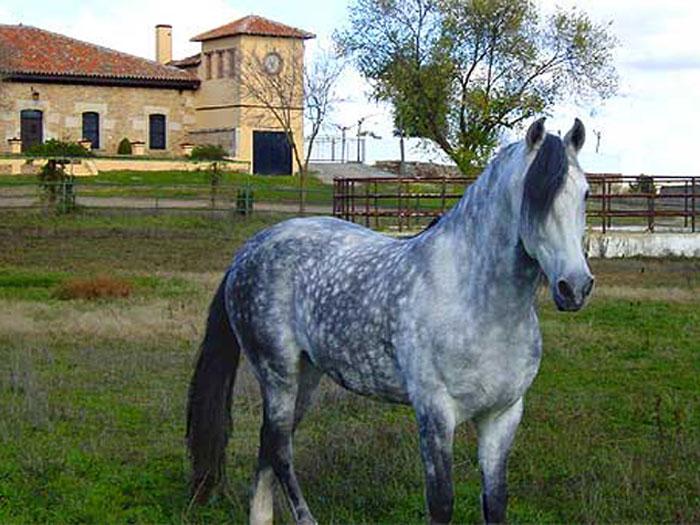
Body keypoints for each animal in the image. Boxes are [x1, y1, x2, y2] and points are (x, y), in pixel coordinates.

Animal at [186, 117, 594, 524]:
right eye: (533, 194)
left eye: (586, 194)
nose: (575, 287)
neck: (479, 303)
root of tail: (249, 250)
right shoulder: (435, 413)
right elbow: (441, 502)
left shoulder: (502, 415)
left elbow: (495, 502)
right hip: (278, 374)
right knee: (280, 449)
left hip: (306, 375)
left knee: (270, 443)